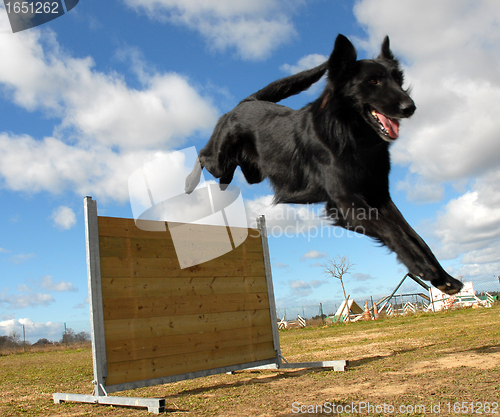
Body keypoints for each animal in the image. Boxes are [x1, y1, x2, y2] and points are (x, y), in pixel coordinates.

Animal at [186, 35, 462, 296]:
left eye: (398, 80)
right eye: (373, 82)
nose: (410, 107)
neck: (353, 137)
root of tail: (245, 102)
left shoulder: (379, 196)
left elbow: (415, 236)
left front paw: (444, 277)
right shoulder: (346, 202)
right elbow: (394, 231)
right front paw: (423, 268)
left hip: (251, 172)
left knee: (225, 172)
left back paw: (222, 185)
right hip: (220, 159)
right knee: (202, 155)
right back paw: (190, 183)